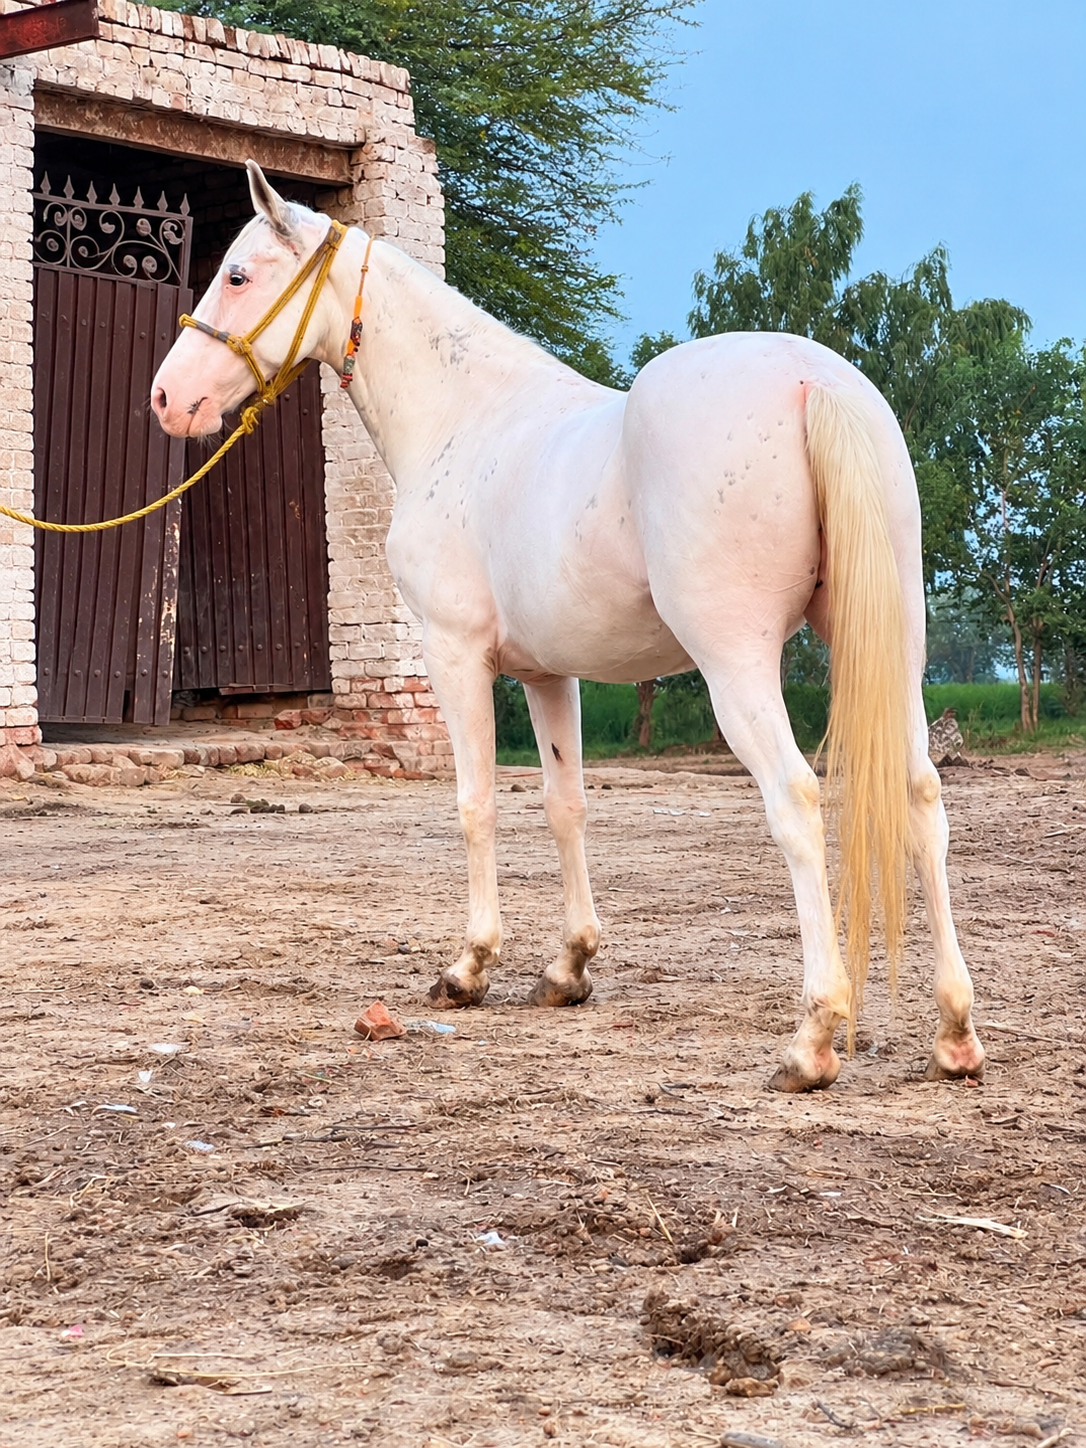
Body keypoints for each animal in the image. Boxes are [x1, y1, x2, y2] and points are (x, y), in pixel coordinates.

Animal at [151, 162, 986, 1093]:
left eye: (237, 275)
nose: (167, 399)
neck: (465, 420)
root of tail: (815, 382)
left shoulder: (454, 656)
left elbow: (476, 802)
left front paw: (469, 967)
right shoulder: (550, 674)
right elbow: (566, 805)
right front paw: (569, 966)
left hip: (736, 665)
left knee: (797, 801)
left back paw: (812, 1040)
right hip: (892, 647)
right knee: (921, 795)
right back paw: (954, 1032)